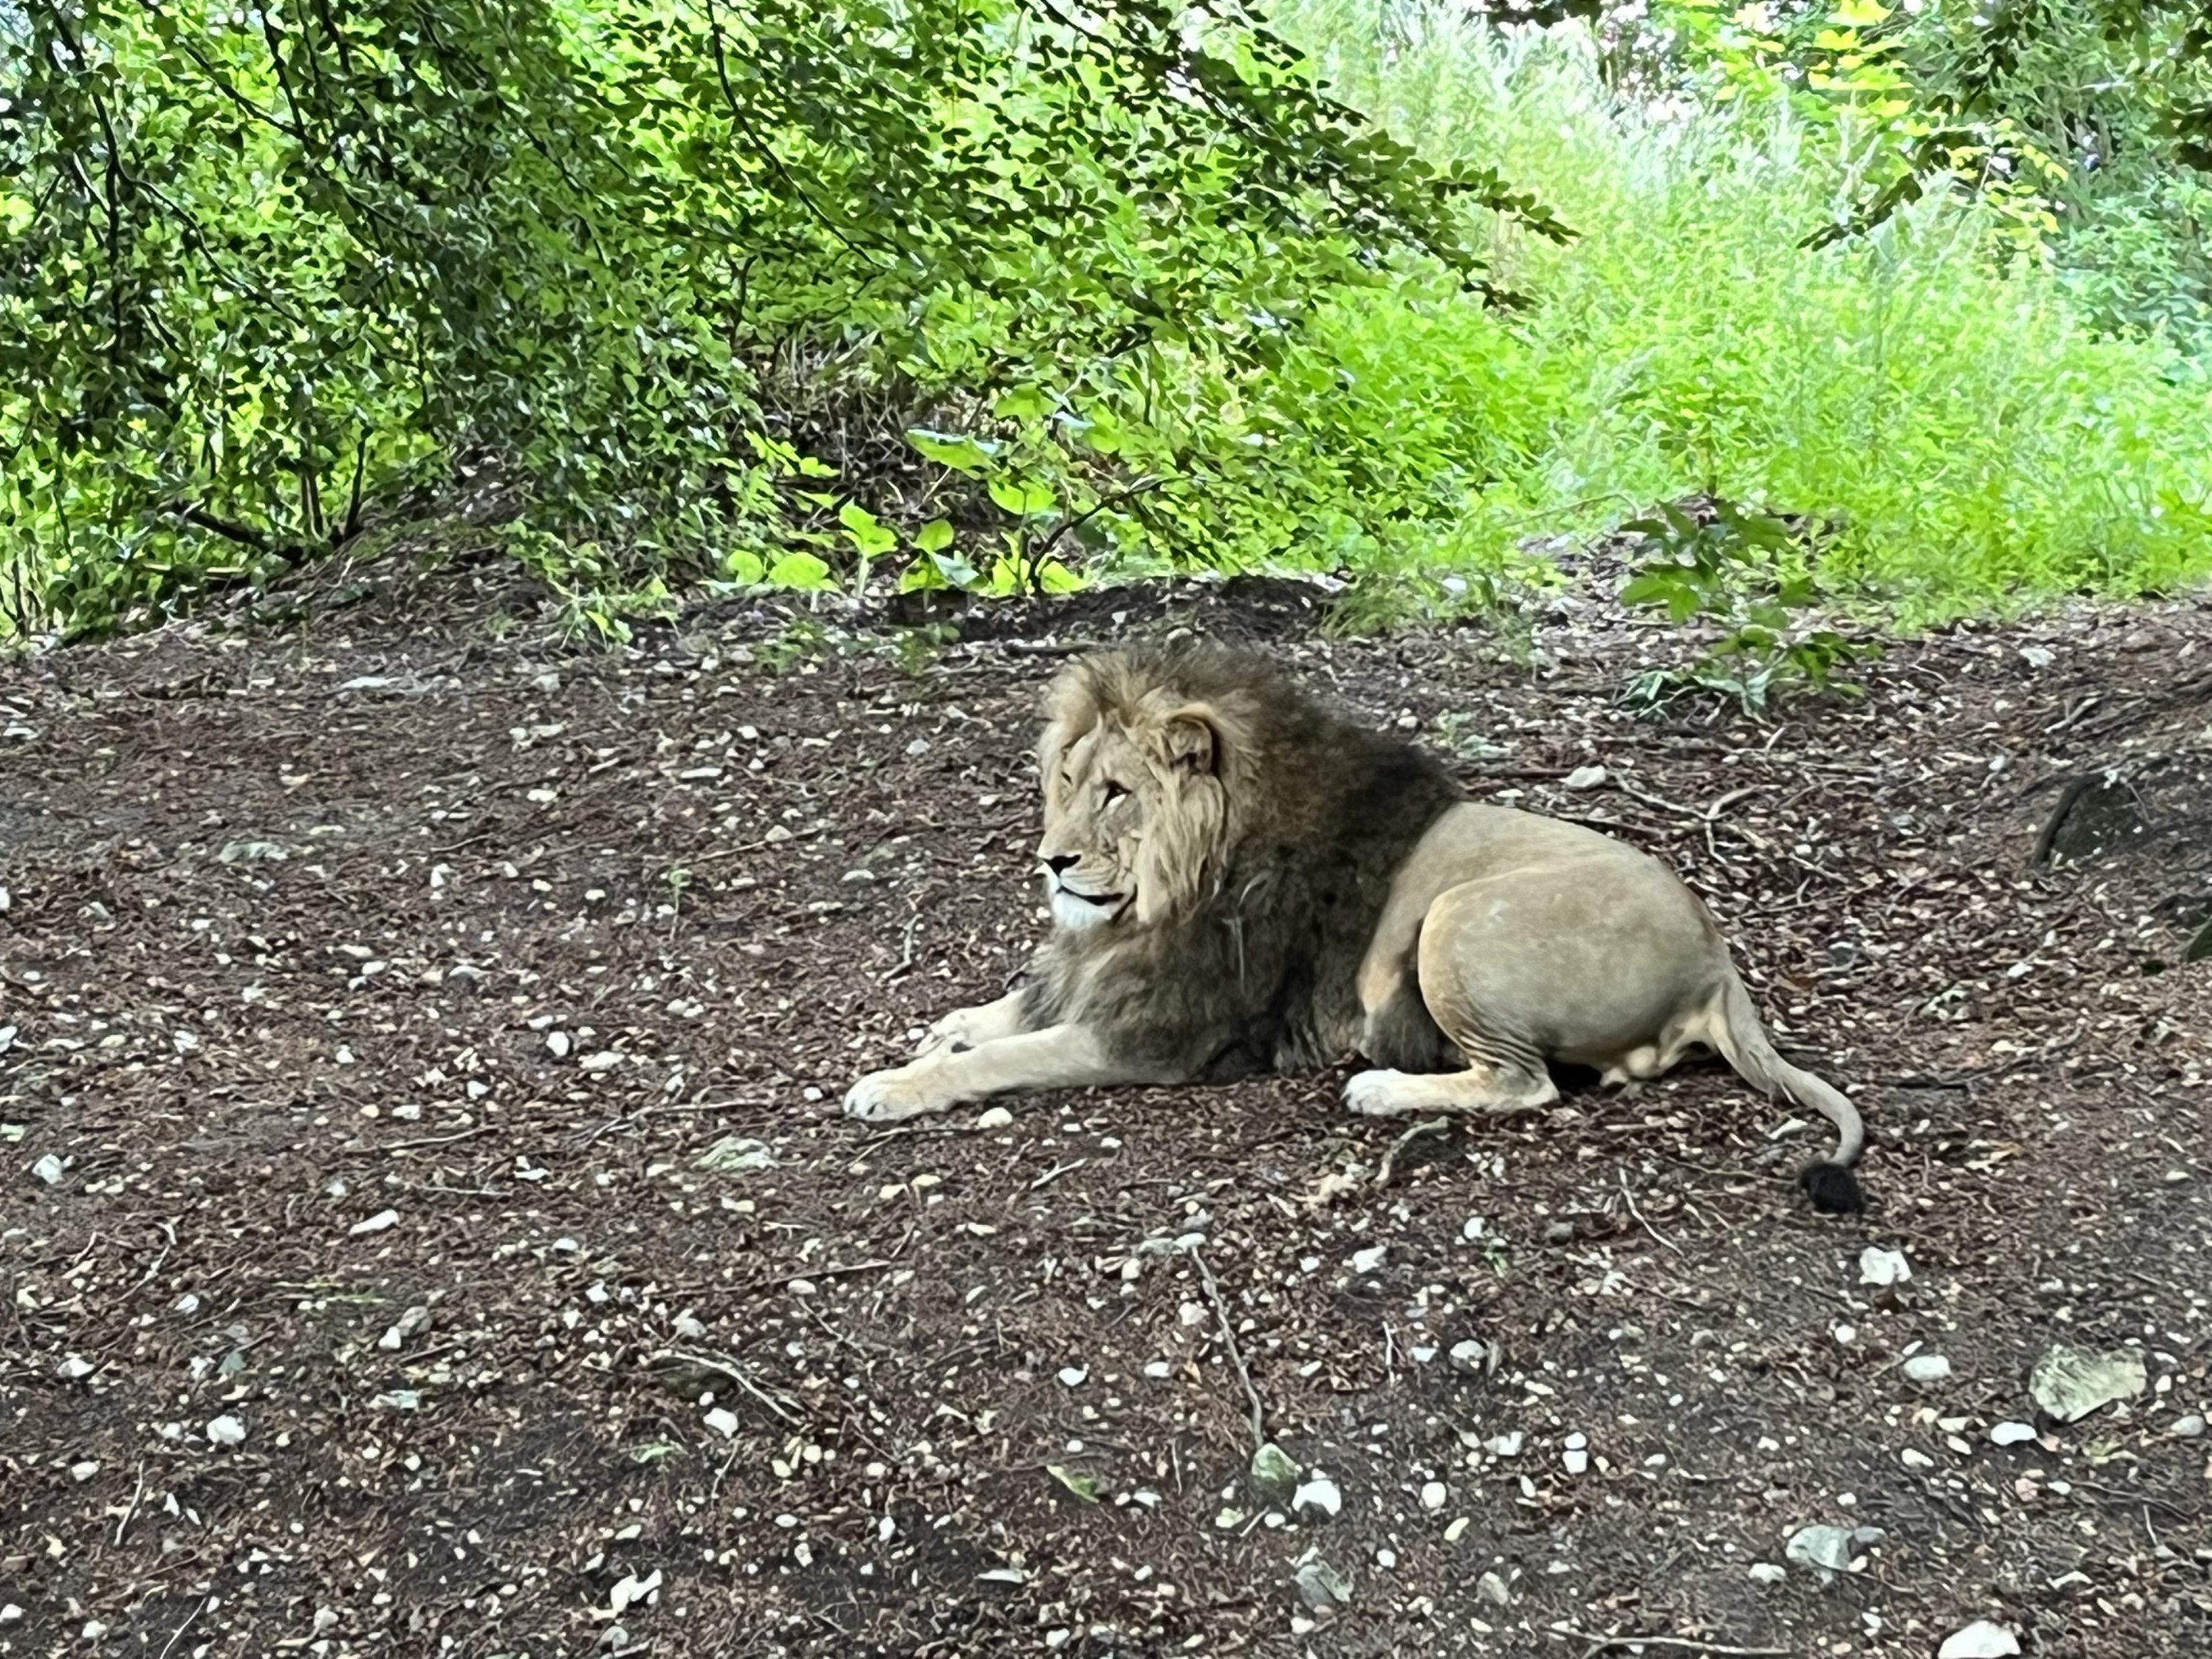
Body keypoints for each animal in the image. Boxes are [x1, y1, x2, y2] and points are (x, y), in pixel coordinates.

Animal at [844, 642, 1866, 1213]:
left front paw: (892, 1085)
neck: (1162, 894)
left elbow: (999, 1057)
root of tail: (1716, 959)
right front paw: (943, 1027)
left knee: (1525, 1085)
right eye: (1065, 782)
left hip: (1455, 919)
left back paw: (1380, 1089)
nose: (1051, 860)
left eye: (1118, 794)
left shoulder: (1155, 1036)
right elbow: (1002, 1014)